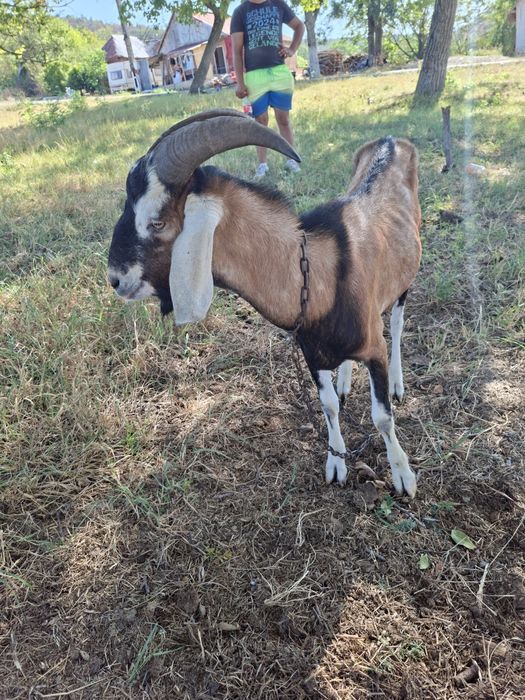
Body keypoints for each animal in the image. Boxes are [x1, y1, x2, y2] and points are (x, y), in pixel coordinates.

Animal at [108, 108, 422, 497]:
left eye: (158, 221)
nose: (115, 279)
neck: (319, 275)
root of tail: (392, 140)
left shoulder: (374, 350)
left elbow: (382, 417)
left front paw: (403, 475)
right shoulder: (312, 353)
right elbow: (329, 405)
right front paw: (336, 461)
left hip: (405, 279)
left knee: (396, 323)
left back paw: (397, 383)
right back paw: (347, 379)